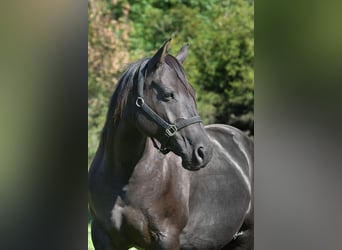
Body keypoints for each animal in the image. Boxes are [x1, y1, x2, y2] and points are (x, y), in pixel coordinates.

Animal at [88, 40, 254, 249]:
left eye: (193, 93)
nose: (204, 152)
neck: (125, 180)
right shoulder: (102, 236)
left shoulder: (167, 238)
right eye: (168, 94)